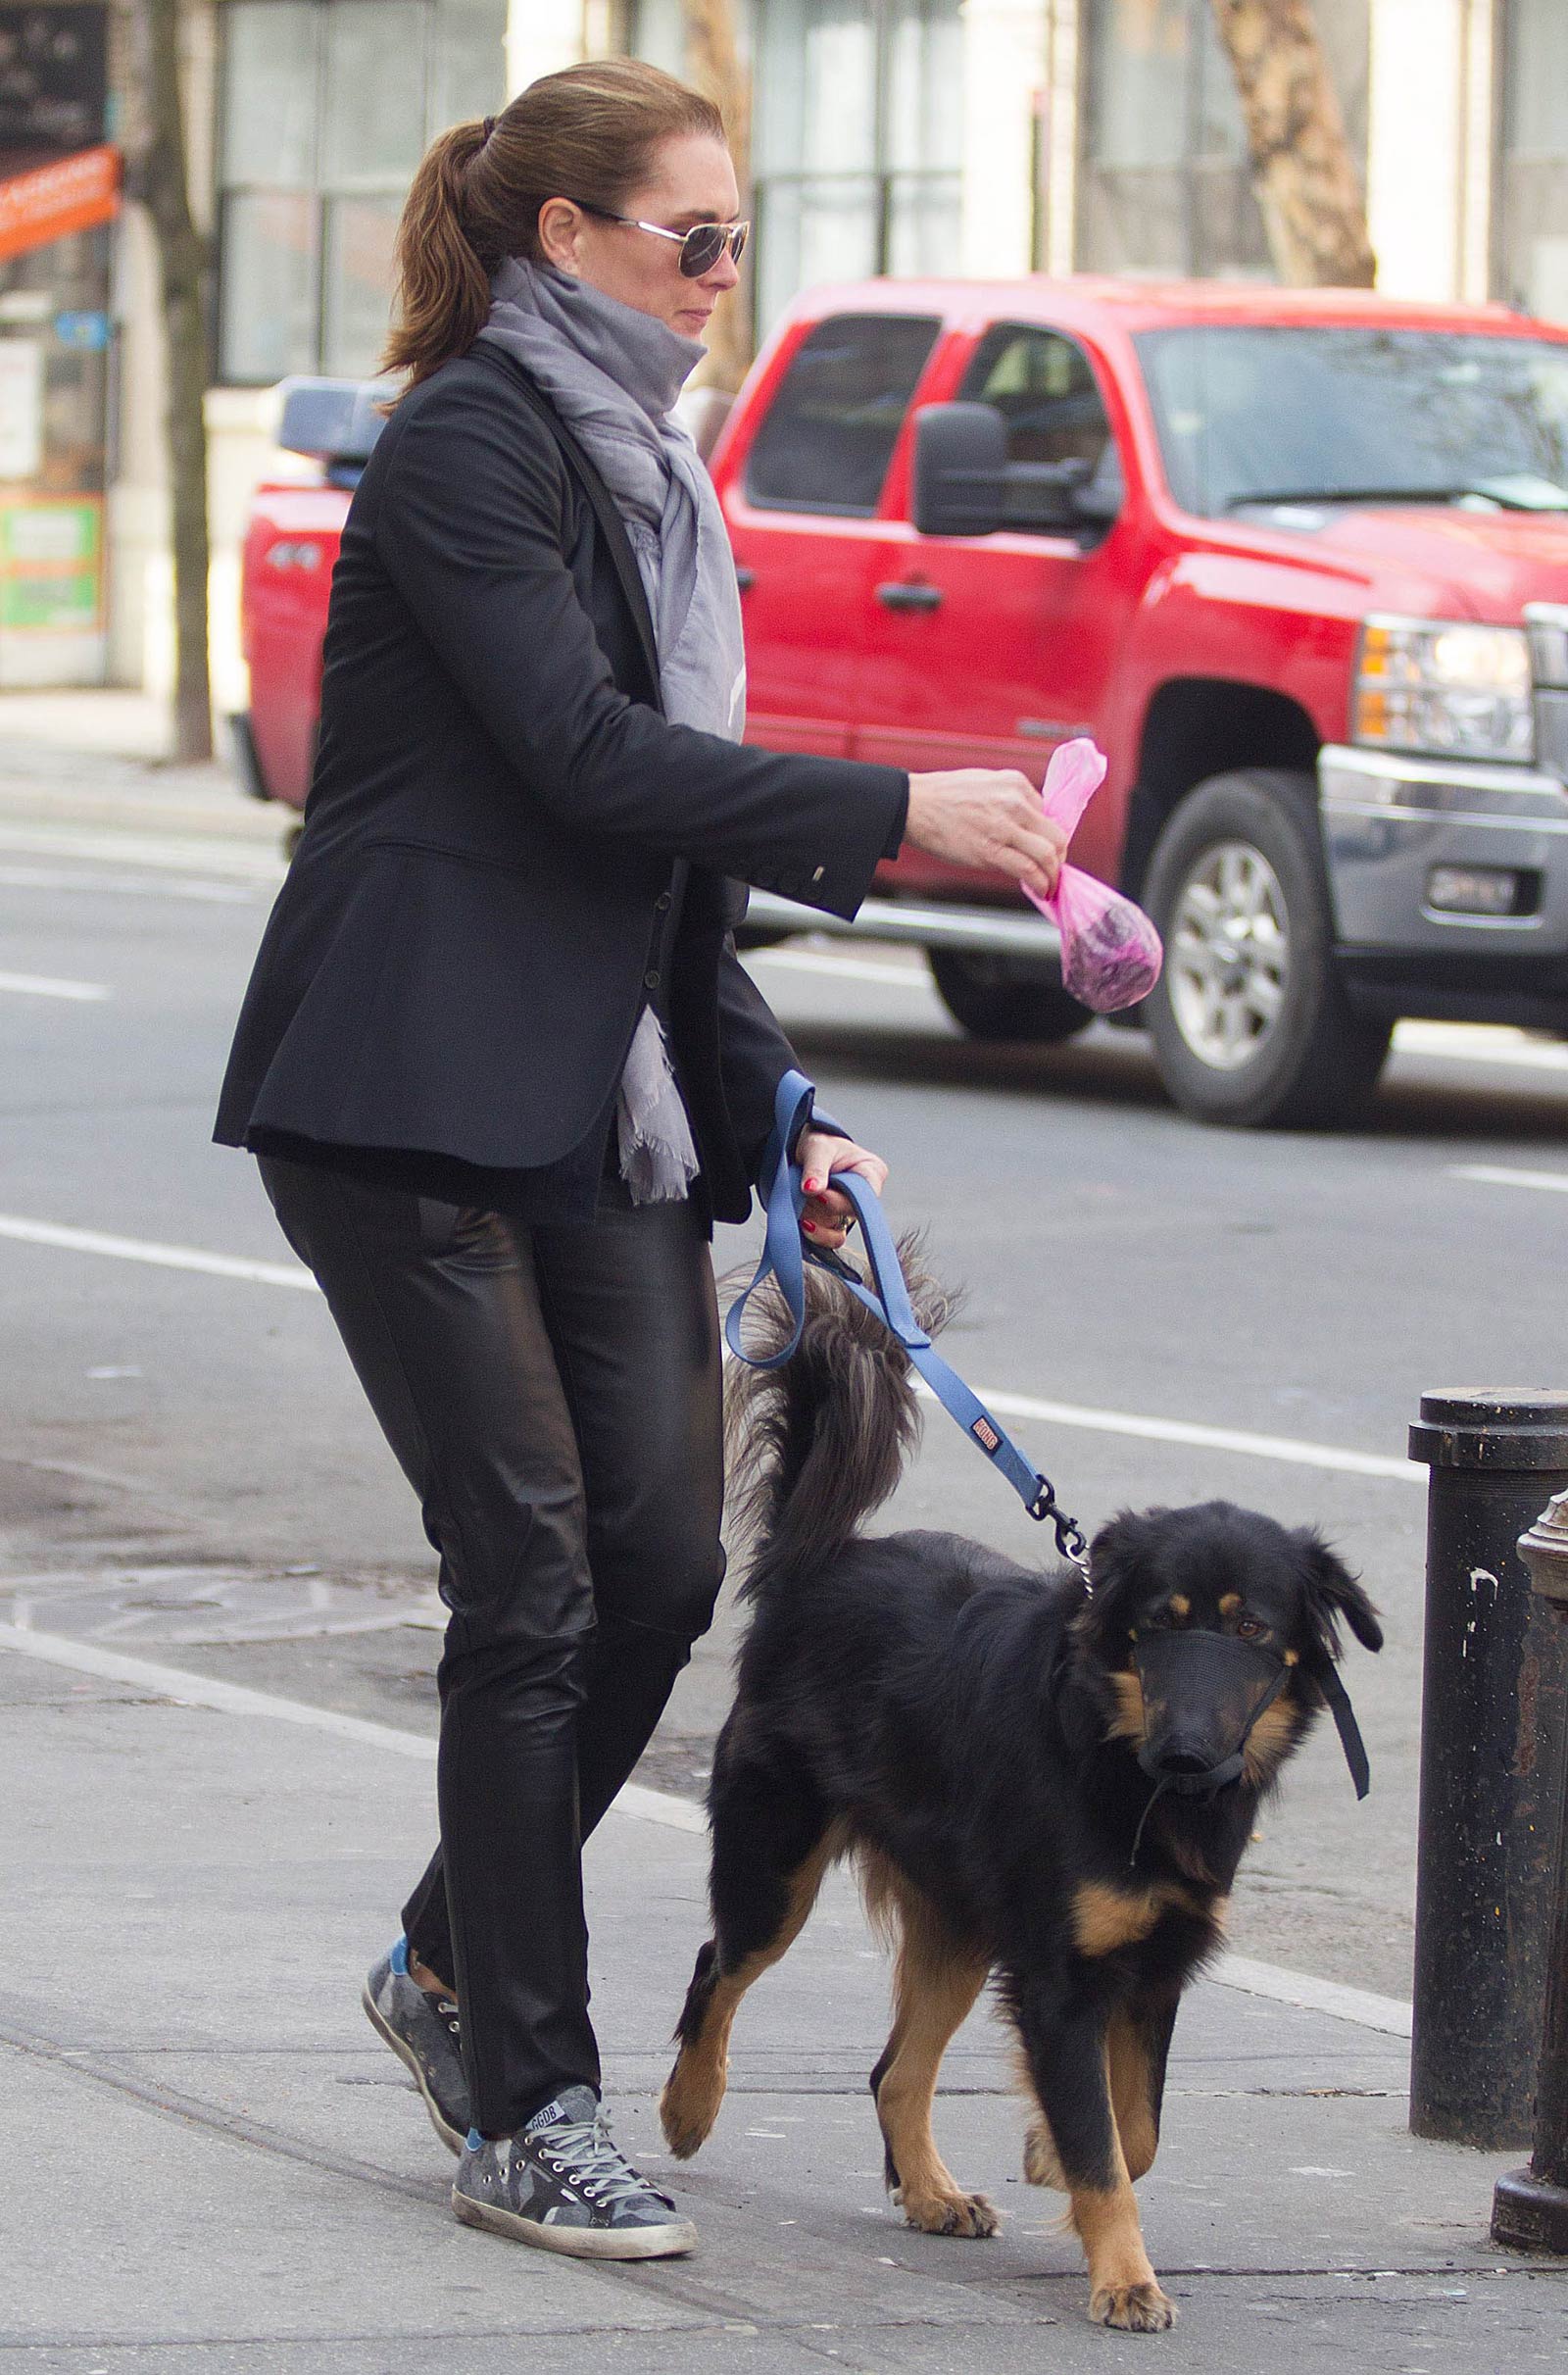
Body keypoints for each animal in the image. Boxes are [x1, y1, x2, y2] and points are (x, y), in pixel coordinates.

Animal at [660, 1254, 1387, 2327]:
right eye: (1155, 1623)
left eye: (1250, 1627)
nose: (1185, 1750)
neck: (1122, 1760)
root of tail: (815, 1563)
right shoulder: (1061, 1976)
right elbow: (1106, 2146)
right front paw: (1123, 2276)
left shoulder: (1151, 1964)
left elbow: (1135, 2130)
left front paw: (1051, 2156)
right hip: (778, 1864)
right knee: (720, 1964)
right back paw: (688, 2105)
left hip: (961, 1921)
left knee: (893, 2070)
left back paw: (929, 2190)